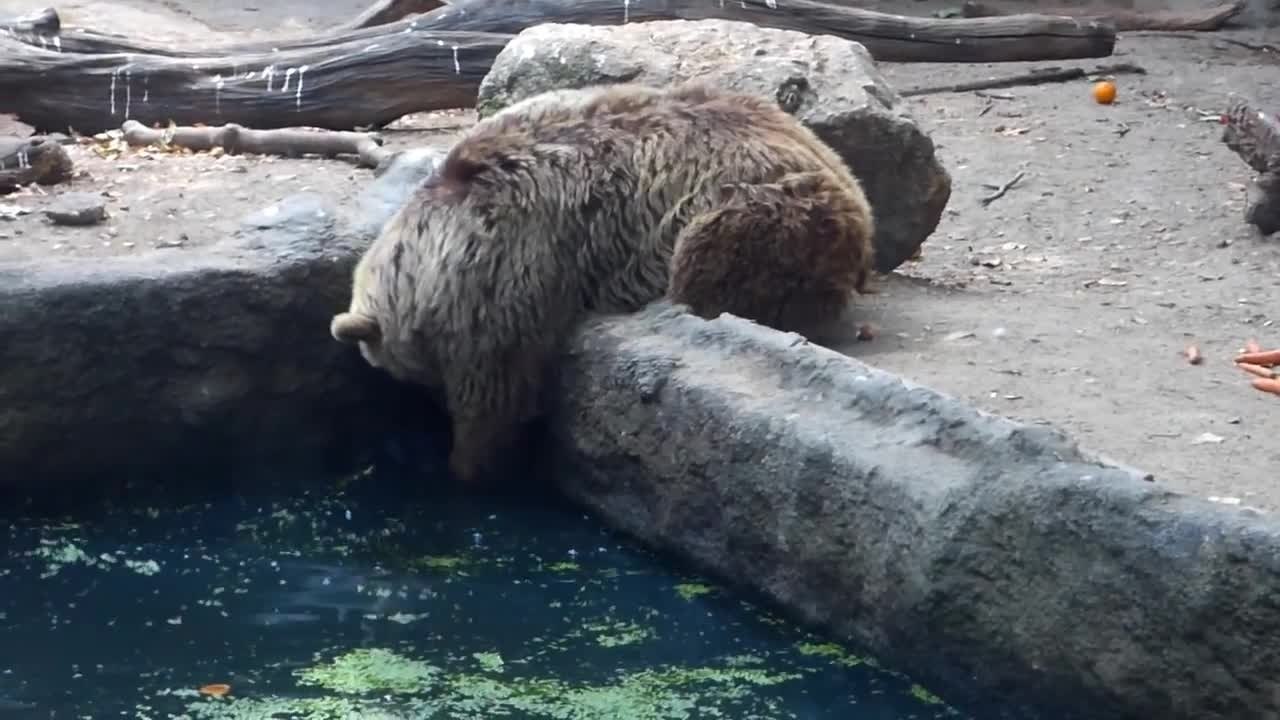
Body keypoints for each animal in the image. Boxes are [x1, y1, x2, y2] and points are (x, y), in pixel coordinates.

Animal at [329, 81, 876, 485]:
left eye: (397, 368)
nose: (421, 401)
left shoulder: (508, 267)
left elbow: (497, 386)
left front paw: (470, 461)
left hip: (758, 211)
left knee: (713, 259)